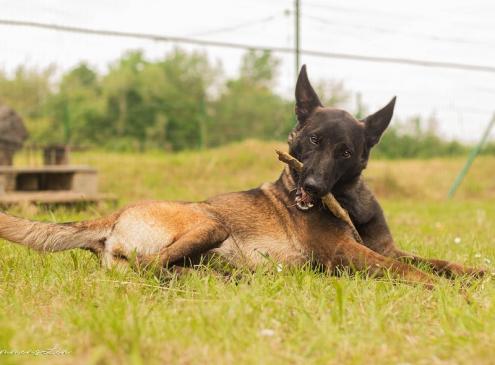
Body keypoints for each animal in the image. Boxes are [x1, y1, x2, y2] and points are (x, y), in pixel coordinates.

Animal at [0, 66, 486, 288]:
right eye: (311, 141)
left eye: (345, 152)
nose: (310, 188)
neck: (346, 203)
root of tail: (113, 217)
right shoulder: (348, 254)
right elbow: (406, 270)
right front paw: (442, 290)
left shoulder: (384, 247)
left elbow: (434, 260)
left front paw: (472, 273)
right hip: (210, 222)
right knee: (150, 268)